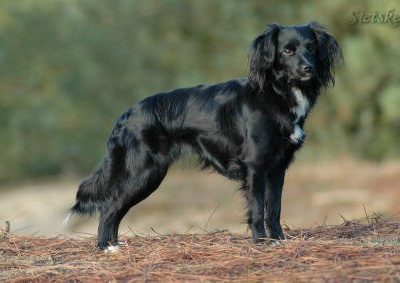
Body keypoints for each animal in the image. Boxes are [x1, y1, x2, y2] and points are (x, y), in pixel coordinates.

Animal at [69, 23, 340, 252]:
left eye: (311, 47)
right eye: (287, 50)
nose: (308, 68)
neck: (274, 94)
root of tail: (126, 114)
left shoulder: (277, 168)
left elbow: (274, 208)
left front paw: (279, 240)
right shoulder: (256, 167)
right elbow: (257, 209)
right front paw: (261, 243)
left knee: (115, 208)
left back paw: (114, 245)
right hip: (142, 173)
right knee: (109, 208)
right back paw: (106, 248)